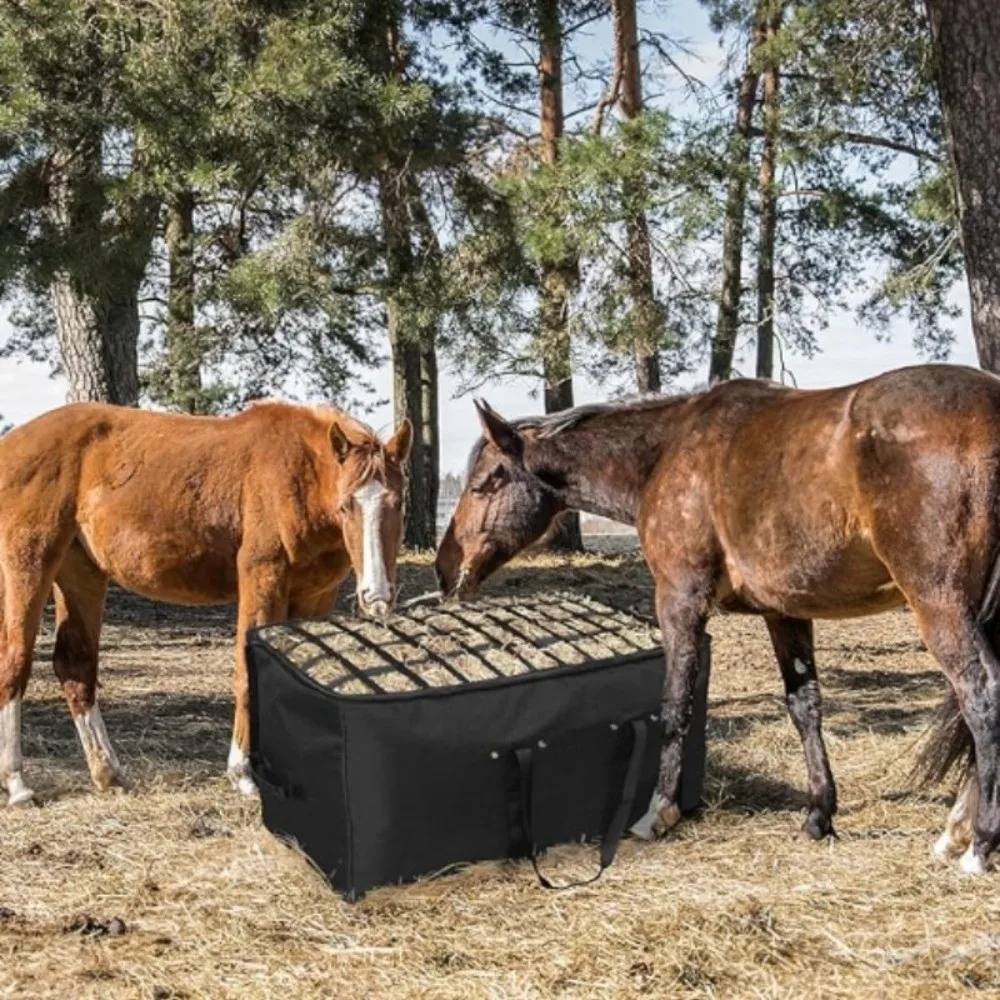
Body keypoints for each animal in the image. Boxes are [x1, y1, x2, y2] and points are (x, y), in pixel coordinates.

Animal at [0, 401, 411, 805]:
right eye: (345, 507)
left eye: (399, 504)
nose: (376, 595)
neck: (299, 475)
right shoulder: (263, 580)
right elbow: (247, 675)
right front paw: (243, 775)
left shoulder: (315, 597)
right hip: (29, 564)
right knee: (15, 661)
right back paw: (18, 784)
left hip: (80, 572)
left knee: (76, 665)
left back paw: (109, 774)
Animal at [435, 364, 1000, 875]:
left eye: (487, 481)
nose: (445, 568)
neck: (666, 453)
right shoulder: (784, 614)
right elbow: (805, 707)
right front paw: (819, 816)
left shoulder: (680, 603)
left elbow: (675, 705)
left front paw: (658, 813)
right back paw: (955, 830)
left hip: (939, 606)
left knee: (981, 693)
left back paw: (977, 844)